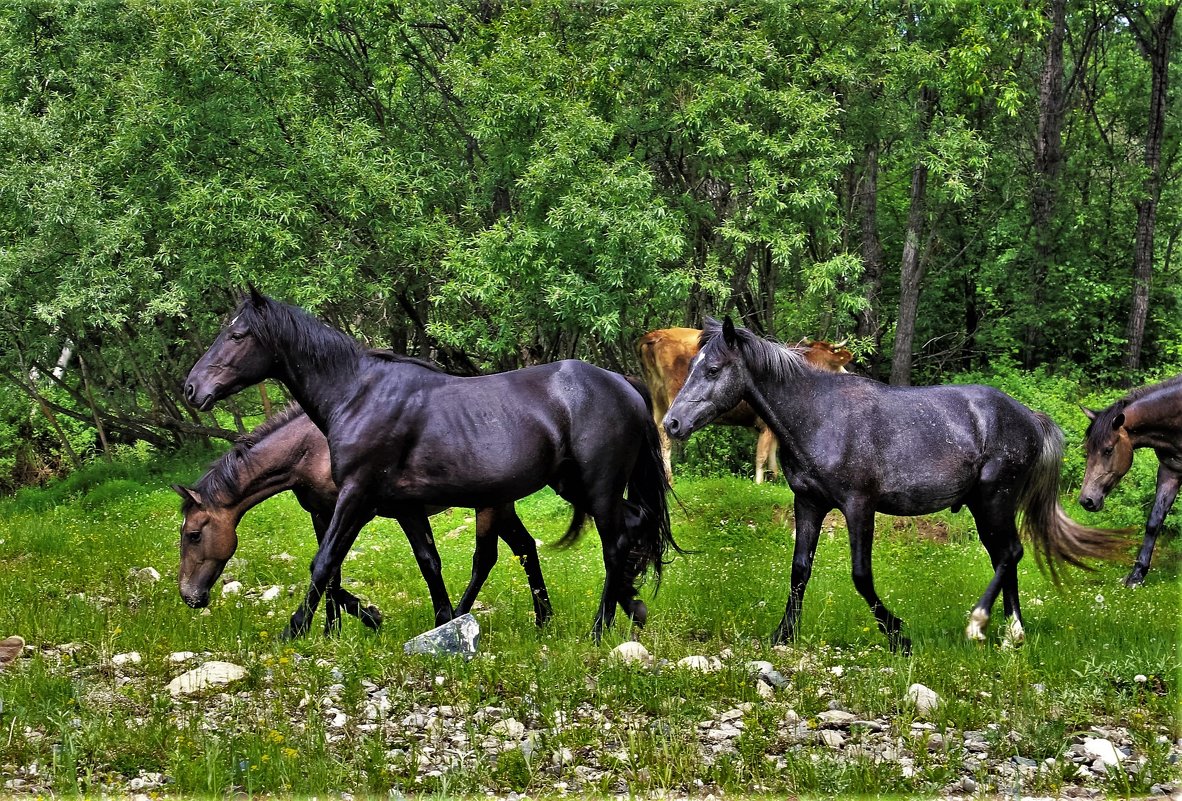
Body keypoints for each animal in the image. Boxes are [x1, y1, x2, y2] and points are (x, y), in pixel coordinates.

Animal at [172, 408, 550, 633]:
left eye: (193, 535)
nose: (189, 596)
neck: (310, 450)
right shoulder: (322, 514)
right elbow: (331, 573)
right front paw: (334, 630)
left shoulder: (364, 512)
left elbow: (332, 569)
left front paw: (369, 618)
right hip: (501, 508)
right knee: (524, 548)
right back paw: (542, 620)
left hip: (490, 506)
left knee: (486, 558)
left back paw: (461, 616)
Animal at [666, 318, 1125, 652]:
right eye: (691, 367)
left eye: (712, 369)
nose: (672, 423)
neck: (819, 415)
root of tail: (1030, 417)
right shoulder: (809, 503)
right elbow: (799, 570)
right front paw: (784, 635)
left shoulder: (858, 506)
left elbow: (861, 575)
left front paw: (898, 634)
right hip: (985, 506)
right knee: (1005, 556)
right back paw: (1013, 633)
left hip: (995, 499)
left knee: (1010, 553)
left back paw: (978, 624)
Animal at [1082, 373, 1182, 585]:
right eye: (1087, 449)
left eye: (1108, 450)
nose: (1087, 500)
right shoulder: (1170, 471)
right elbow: (1154, 522)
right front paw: (1137, 575)